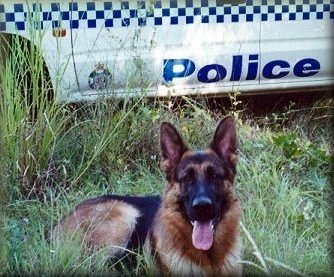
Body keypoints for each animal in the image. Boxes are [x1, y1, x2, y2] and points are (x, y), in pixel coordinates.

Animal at [54, 117, 243, 276]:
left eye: (214, 176)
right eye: (187, 178)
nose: (202, 207)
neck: (209, 258)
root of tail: (57, 226)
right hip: (125, 214)